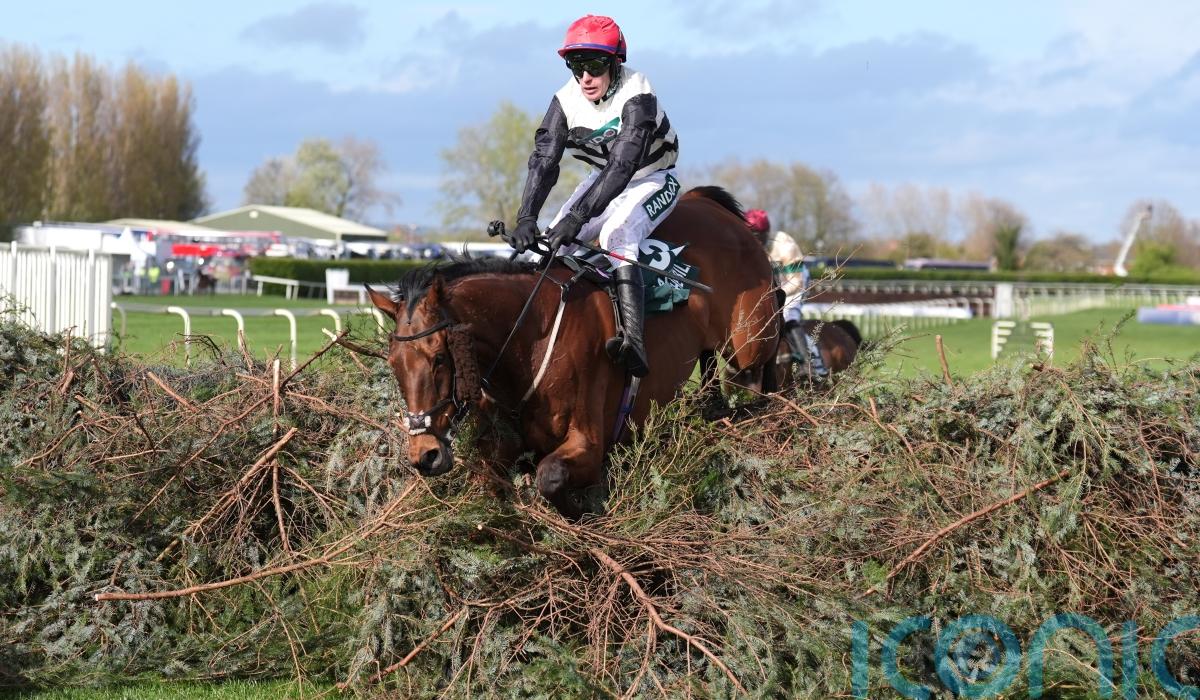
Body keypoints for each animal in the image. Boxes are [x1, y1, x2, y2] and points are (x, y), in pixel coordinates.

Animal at [367, 187, 779, 519]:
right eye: (394, 364)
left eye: (439, 357)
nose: (424, 455)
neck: (529, 340)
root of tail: (708, 203)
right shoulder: (501, 446)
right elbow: (493, 481)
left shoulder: (589, 443)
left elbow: (550, 477)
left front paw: (584, 512)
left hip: (749, 339)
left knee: (767, 362)